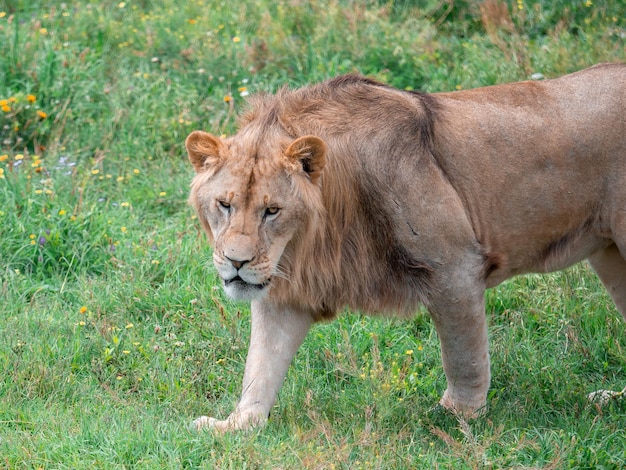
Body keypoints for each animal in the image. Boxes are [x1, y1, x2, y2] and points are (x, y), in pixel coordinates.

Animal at [185, 64, 624, 432]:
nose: (236, 262)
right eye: (224, 204)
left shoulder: (455, 265)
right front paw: (236, 426)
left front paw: (458, 418)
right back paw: (610, 400)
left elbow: (464, 355)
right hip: (610, 256)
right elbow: (262, 364)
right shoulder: (287, 292)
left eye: (272, 210)